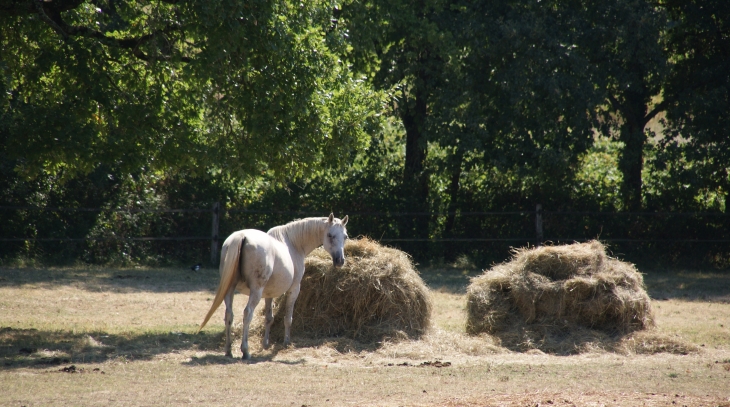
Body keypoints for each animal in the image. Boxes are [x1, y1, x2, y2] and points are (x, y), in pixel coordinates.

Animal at [198, 214, 348, 360]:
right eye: (330, 235)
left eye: (345, 236)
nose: (340, 261)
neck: (293, 244)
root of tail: (241, 237)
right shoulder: (294, 289)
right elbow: (288, 319)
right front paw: (286, 343)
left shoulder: (268, 294)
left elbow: (269, 318)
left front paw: (265, 344)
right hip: (256, 292)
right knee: (247, 313)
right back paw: (245, 351)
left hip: (230, 289)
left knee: (229, 315)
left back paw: (228, 350)